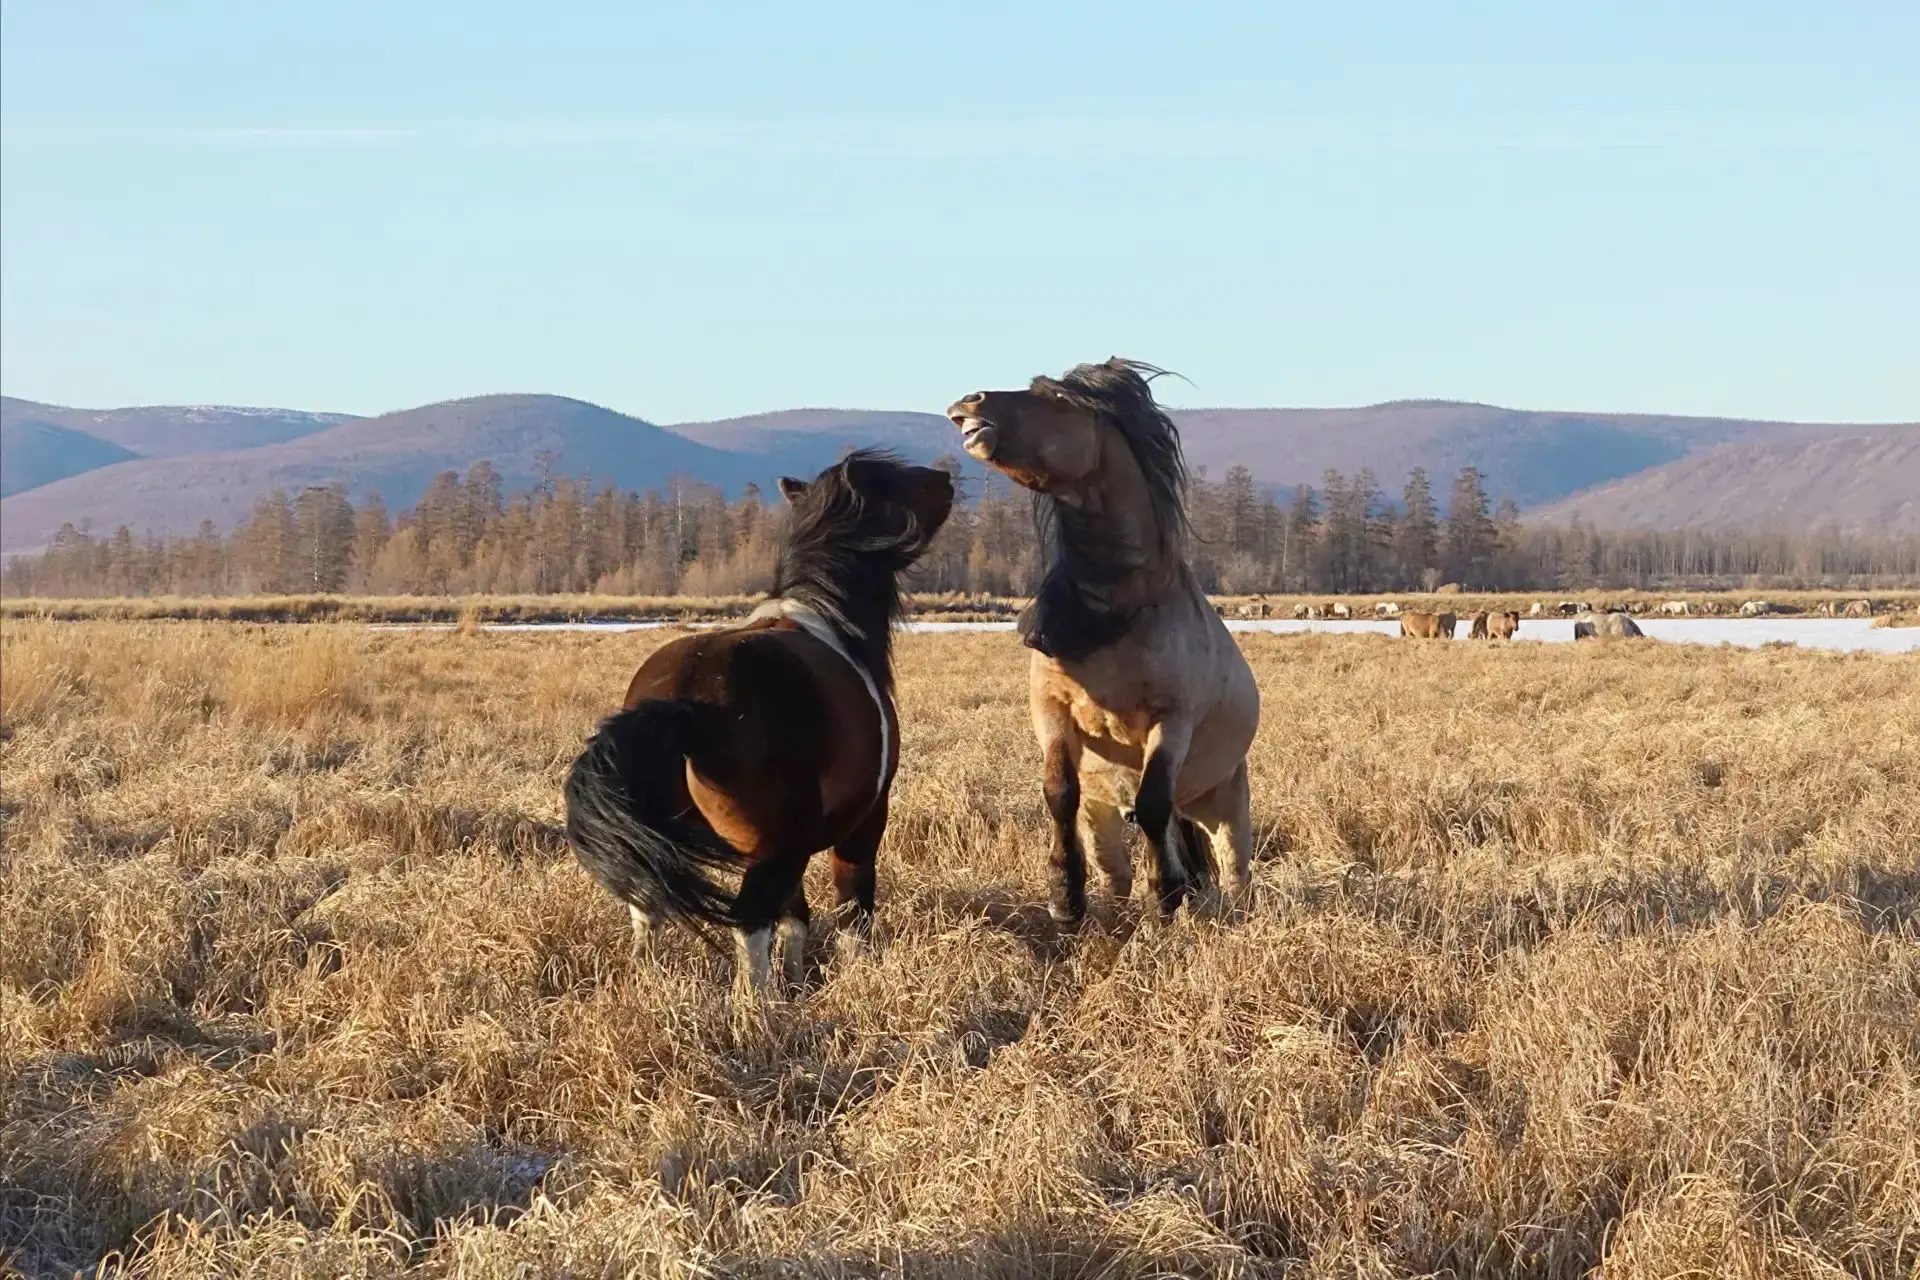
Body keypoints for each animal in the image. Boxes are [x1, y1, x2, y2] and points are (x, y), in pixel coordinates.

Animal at [563, 450, 954, 993]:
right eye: (896, 481)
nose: (947, 478)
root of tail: (684, 701)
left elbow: (797, 917)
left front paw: (799, 983)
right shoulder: (865, 820)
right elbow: (851, 911)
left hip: (663, 848)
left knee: (649, 911)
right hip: (776, 852)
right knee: (750, 928)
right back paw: (759, 1006)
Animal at [946, 358, 1259, 923]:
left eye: (1060, 400)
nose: (969, 403)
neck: (1115, 609)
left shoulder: (1171, 719)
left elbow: (1154, 803)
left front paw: (1166, 894)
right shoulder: (1051, 707)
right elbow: (1058, 791)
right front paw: (1064, 896)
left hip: (1226, 807)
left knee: (1232, 868)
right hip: (1108, 820)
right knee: (1119, 872)